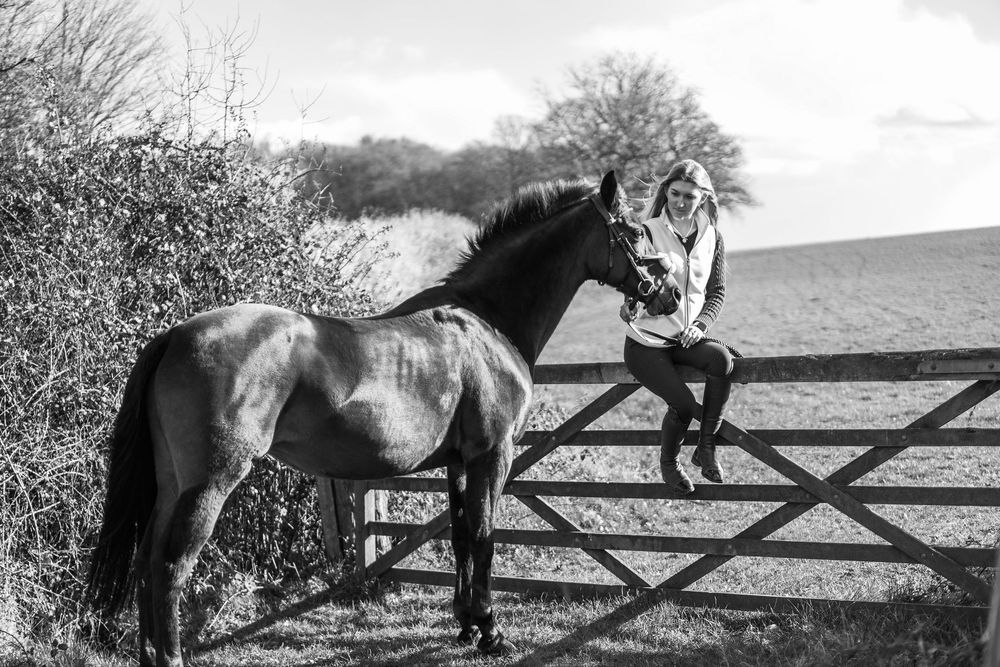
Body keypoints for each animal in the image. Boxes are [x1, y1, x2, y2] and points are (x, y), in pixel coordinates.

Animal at [86, 170, 681, 666]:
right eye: (636, 232)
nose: (671, 292)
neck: (486, 320)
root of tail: (175, 334)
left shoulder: (458, 462)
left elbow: (462, 537)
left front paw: (466, 626)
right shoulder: (493, 455)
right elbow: (485, 535)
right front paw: (491, 632)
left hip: (171, 482)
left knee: (146, 561)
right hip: (210, 482)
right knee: (170, 567)